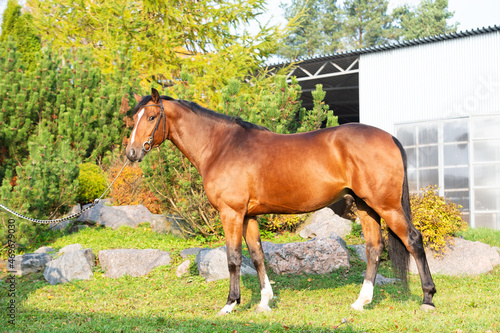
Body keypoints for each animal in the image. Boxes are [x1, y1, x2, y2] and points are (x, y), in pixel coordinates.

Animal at [127, 87, 436, 312]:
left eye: (152, 117)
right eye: (134, 118)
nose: (131, 153)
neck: (221, 147)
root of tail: (389, 137)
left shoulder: (231, 213)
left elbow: (233, 258)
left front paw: (230, 304)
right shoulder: (249, 216)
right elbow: (257, 255)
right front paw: (264, 302)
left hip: (387, 206)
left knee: (413, 240)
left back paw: (427, 299)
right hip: (365, 206)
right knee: (374, 248)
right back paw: (361, 302)